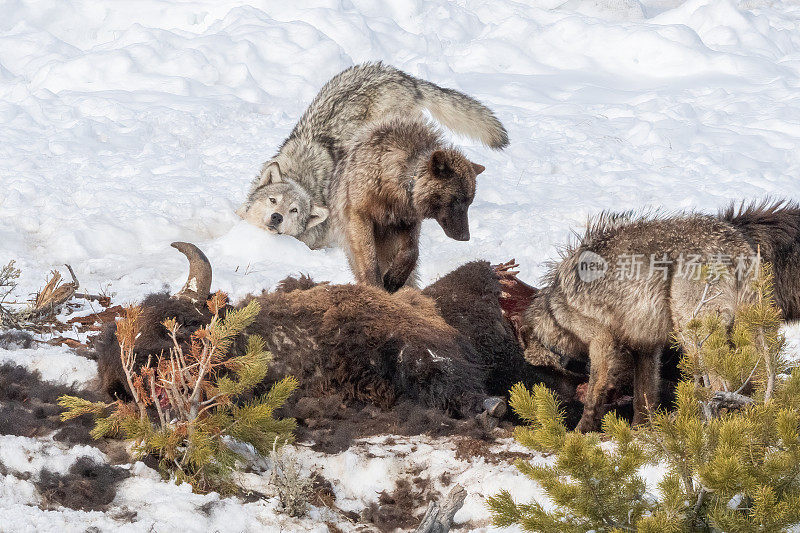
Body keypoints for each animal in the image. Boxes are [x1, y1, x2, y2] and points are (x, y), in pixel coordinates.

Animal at [328, 116, 484, 290]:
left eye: (469, 203)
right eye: (455, 199)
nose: (465, 237)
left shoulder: (410, 222)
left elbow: (412, 252)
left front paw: (394, 279)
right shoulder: (360, 216)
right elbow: (370, 262)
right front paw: (376, 288)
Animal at [520, 200, 800, 432]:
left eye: (545, 372)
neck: (557, 311)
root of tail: (737, 247)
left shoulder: (602, 342)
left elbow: (595, 393)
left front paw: (580, 431)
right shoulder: (645, 349)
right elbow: (644, 396)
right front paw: (640, 430)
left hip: (692, 335)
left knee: (721, 386)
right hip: (749, 331)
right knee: (759, 379)